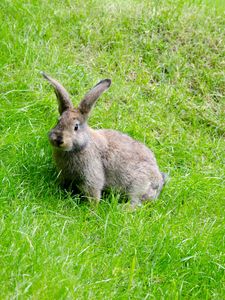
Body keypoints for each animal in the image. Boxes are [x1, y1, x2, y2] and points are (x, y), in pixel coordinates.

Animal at [41, 72, 166, 209]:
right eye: (58, 121)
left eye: (76, 127)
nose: (58, 139)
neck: (82, 146)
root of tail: (159, 182)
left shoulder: (92, 174)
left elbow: (93, 192)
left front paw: (92, 209)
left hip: (137, 186)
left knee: (135, 203)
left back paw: (122, 208)